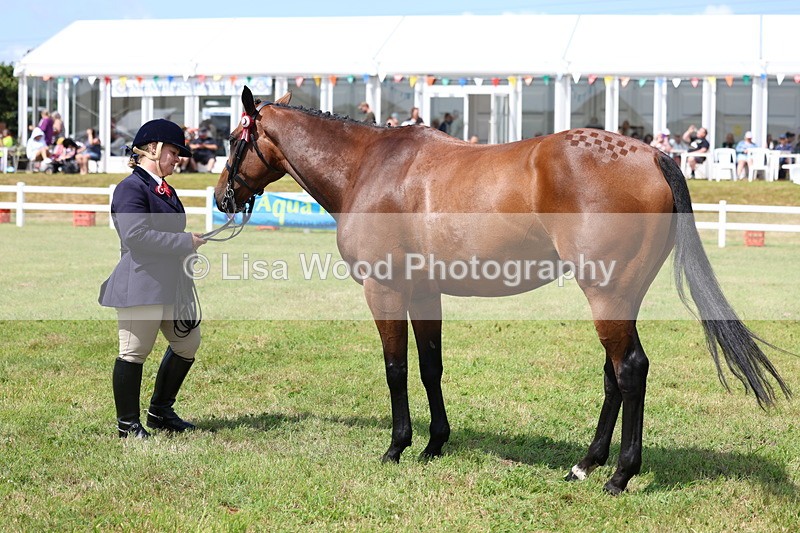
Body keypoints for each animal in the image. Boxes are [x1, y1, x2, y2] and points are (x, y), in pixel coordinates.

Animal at [214, 86, 790, 494]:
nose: (222, 198)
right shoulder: (423, 292)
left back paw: (619, 475)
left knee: (630, 370)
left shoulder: (384, 289)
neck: (370, 168)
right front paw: (434, 444)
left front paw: (397, 447)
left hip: (605, 294)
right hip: (621, 297)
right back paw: (585, 465)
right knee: (614, 374)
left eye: (234, 141)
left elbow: (396, 368)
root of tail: (651, 156)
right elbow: (430, 366)